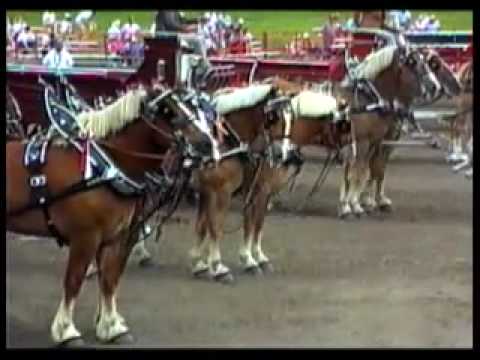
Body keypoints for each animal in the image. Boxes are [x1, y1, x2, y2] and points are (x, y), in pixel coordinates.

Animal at [5, 84, 215, 346]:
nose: (208, 144)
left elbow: (109, 279)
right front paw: (66, 330)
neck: (104, 169)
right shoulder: (86, 237)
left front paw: (110, 326)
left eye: (191, 106)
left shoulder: (115, 237)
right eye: (168, 112)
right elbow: (74, 281)